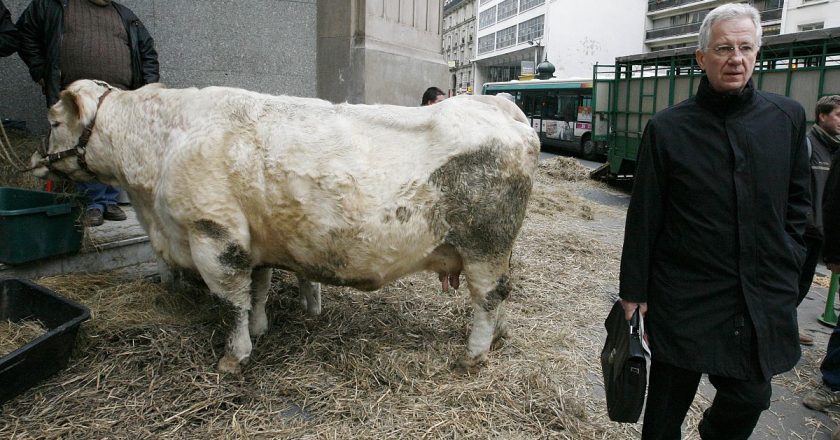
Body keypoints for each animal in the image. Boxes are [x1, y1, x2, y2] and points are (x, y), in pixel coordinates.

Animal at [31, 81, 540, 372]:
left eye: (53, 120)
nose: (36, 159)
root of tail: (500, 106)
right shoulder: (253, 240)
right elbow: (257, 289)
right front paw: (259, 329)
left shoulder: (213, 235)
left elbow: (231, 301)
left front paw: (233, 357)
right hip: (498, 248)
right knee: (503, 293)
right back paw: (500, 336)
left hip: (485, 244)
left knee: (488, 296)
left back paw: (473, 355)